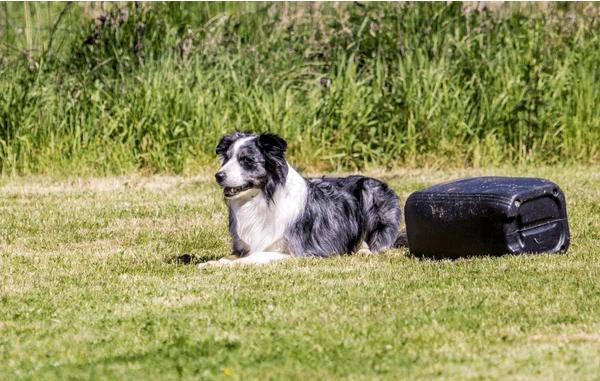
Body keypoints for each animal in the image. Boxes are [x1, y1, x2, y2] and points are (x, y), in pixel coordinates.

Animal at [200, 131, 404, 268]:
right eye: (227, 158)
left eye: (246, 160)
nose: (218, 176)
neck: (262, 198)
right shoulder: (243, 246)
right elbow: (230, 256)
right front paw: (213, 262)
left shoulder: (297, 252)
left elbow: (256, 256)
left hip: (370, 191)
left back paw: (364, 251)